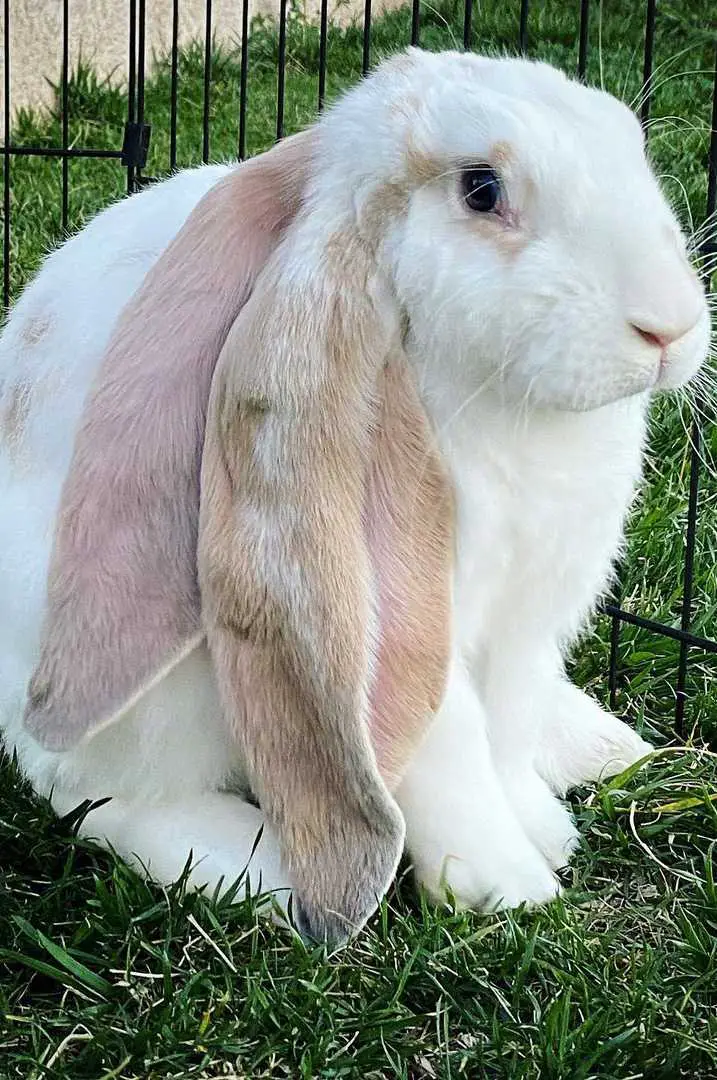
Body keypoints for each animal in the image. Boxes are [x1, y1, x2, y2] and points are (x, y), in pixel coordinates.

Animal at [0, 48, 708, 946]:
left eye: (627, 141)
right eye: (481, 188)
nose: (669, 327)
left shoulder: (528, 620)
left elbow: (508, 730)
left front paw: (543, 829)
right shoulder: (409, 613)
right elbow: (449, 748)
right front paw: (508, 888)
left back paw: (603, 744)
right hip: (156, 695)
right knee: (96, 792)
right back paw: (251, 865)